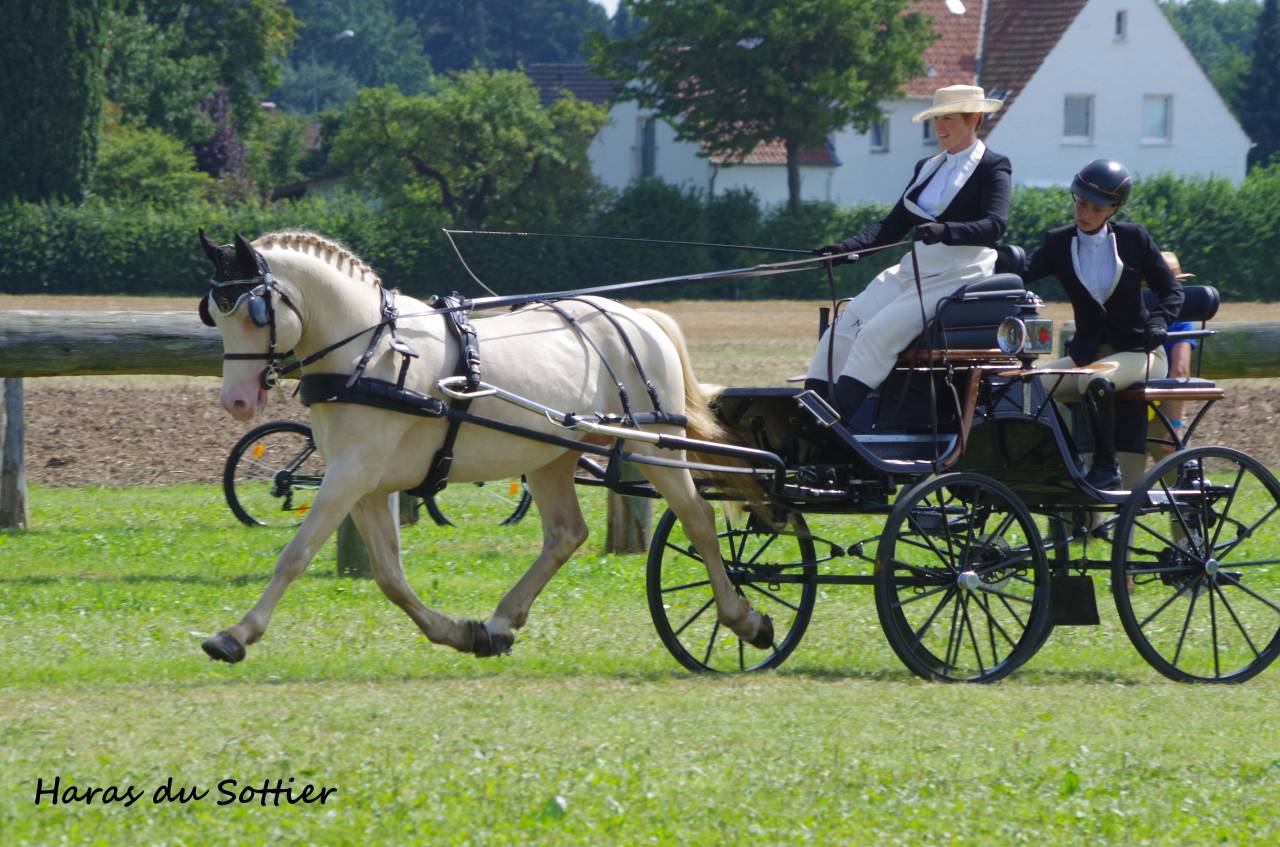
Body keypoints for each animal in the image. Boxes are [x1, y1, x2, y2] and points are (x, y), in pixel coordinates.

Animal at [195, 230, 774, 663]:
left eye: (252, 312)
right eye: (214, 313)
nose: (237, 402)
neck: (371, 351)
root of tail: (637, 317)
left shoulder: (350, 474)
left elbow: (295, 555)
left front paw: (236, 635)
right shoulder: (362, 482)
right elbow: (389, 575)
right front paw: (459, 632)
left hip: (659, 446)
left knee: (698, 518)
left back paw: (744, 618)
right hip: (552, 455)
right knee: (567, 534)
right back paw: (500, 622)